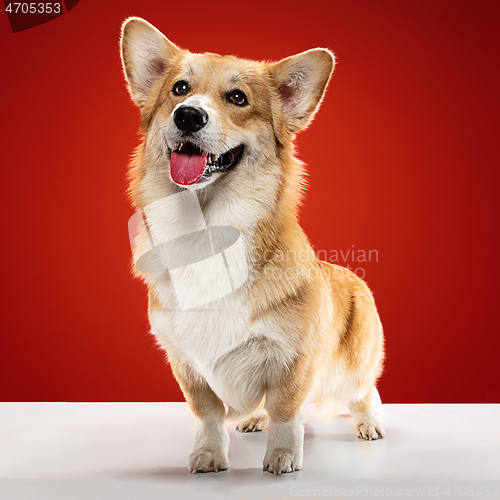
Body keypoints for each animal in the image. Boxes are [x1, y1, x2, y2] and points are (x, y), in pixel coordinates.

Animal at [119, 17, 384, 474]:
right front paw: (209, 455)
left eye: (238, 98)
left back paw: (368, 425)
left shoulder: (292, 357)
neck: (208, 230)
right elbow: (208, 413)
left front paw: (282, 457)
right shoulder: (186, 364)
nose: (188, 116)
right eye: (179, 89)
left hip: (355, 364)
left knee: (363, 393)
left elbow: (285, 410)